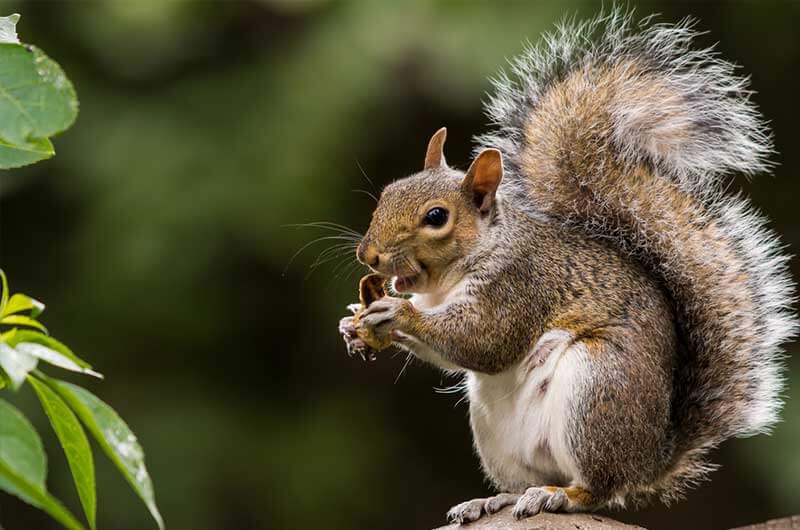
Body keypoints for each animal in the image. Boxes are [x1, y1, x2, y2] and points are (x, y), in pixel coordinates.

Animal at [336, 10, 792, 520]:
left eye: (436, 217)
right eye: (388, 192)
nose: (368, 255)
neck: (452, 277)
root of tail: (649, 458)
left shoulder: (520, 284)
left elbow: (482, 341)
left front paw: (397, 313)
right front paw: (354, 325)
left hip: (595, 391)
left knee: (596, 487)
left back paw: (561, 495)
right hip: (496, 432)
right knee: (527, 478)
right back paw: (494, 499)